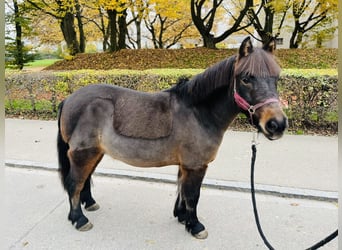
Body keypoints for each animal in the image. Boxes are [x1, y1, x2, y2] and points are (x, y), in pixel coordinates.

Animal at [57, 36, 288, 238]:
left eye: (276, 79)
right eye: (246, 79)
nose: (277, 124)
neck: (198, 112)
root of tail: (68, 99)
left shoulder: (185, 165)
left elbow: (181, 190)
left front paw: (182, 216)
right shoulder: (196, 165)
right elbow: (193, 195)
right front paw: (195, 225)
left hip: (96, 153)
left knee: (84, 180)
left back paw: (89, 204)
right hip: (83, 154)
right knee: (75, 183)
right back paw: (79, 219)